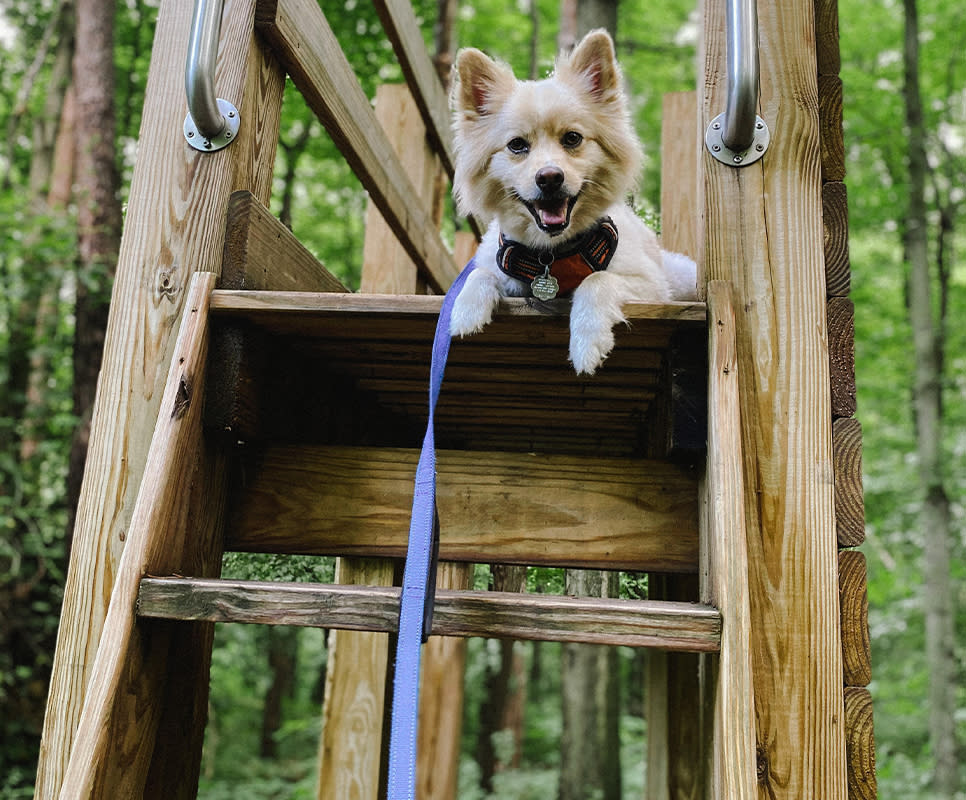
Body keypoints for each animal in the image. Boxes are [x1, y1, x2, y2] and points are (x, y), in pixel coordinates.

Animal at [446, 28, 696, 372]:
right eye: (517, 145)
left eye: (572, 138)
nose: (550, 177)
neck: (550, 255)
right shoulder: (499, 263)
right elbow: (479, 272)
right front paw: (466, 312)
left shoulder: (651, 285)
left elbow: (598, 279)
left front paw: (587, 341)